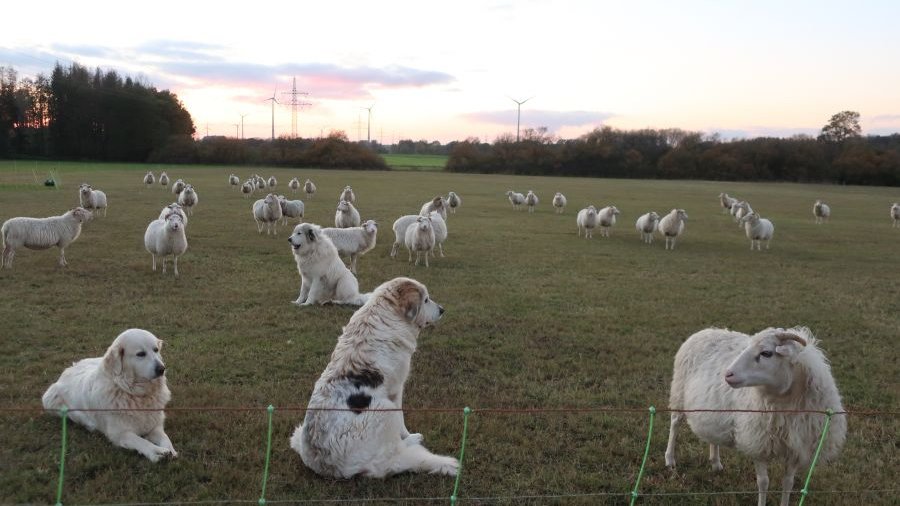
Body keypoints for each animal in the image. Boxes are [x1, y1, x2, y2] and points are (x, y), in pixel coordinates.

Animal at [40, 328, 176, 462]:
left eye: (156, 350)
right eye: (141, 354)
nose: (162, 369)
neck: (134, 393)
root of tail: (68, 369)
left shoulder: (154, 425)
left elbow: (165, 438)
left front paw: (171, 451)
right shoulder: (119, 433)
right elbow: (140, 441)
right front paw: (156, 452)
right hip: (51, 402)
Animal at [288, 276, 458, 478]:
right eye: (426, 300)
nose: (442, 310)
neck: (388, 315)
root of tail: (327, 466)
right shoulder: (396, 390)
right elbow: (402, 419)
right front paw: (408, 434)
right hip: (384, 409)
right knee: (395, 449)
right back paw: (413, 440)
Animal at [664, 326, 848, 506]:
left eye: (766, 353)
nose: (727, 374)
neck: (784, 402)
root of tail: (704, 331)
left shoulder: (796, 447)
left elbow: (788, 482)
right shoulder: (758, 443)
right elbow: (763, 482)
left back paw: (715, 463)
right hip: (678, 393)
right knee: (674, 424)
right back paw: (670, 459)